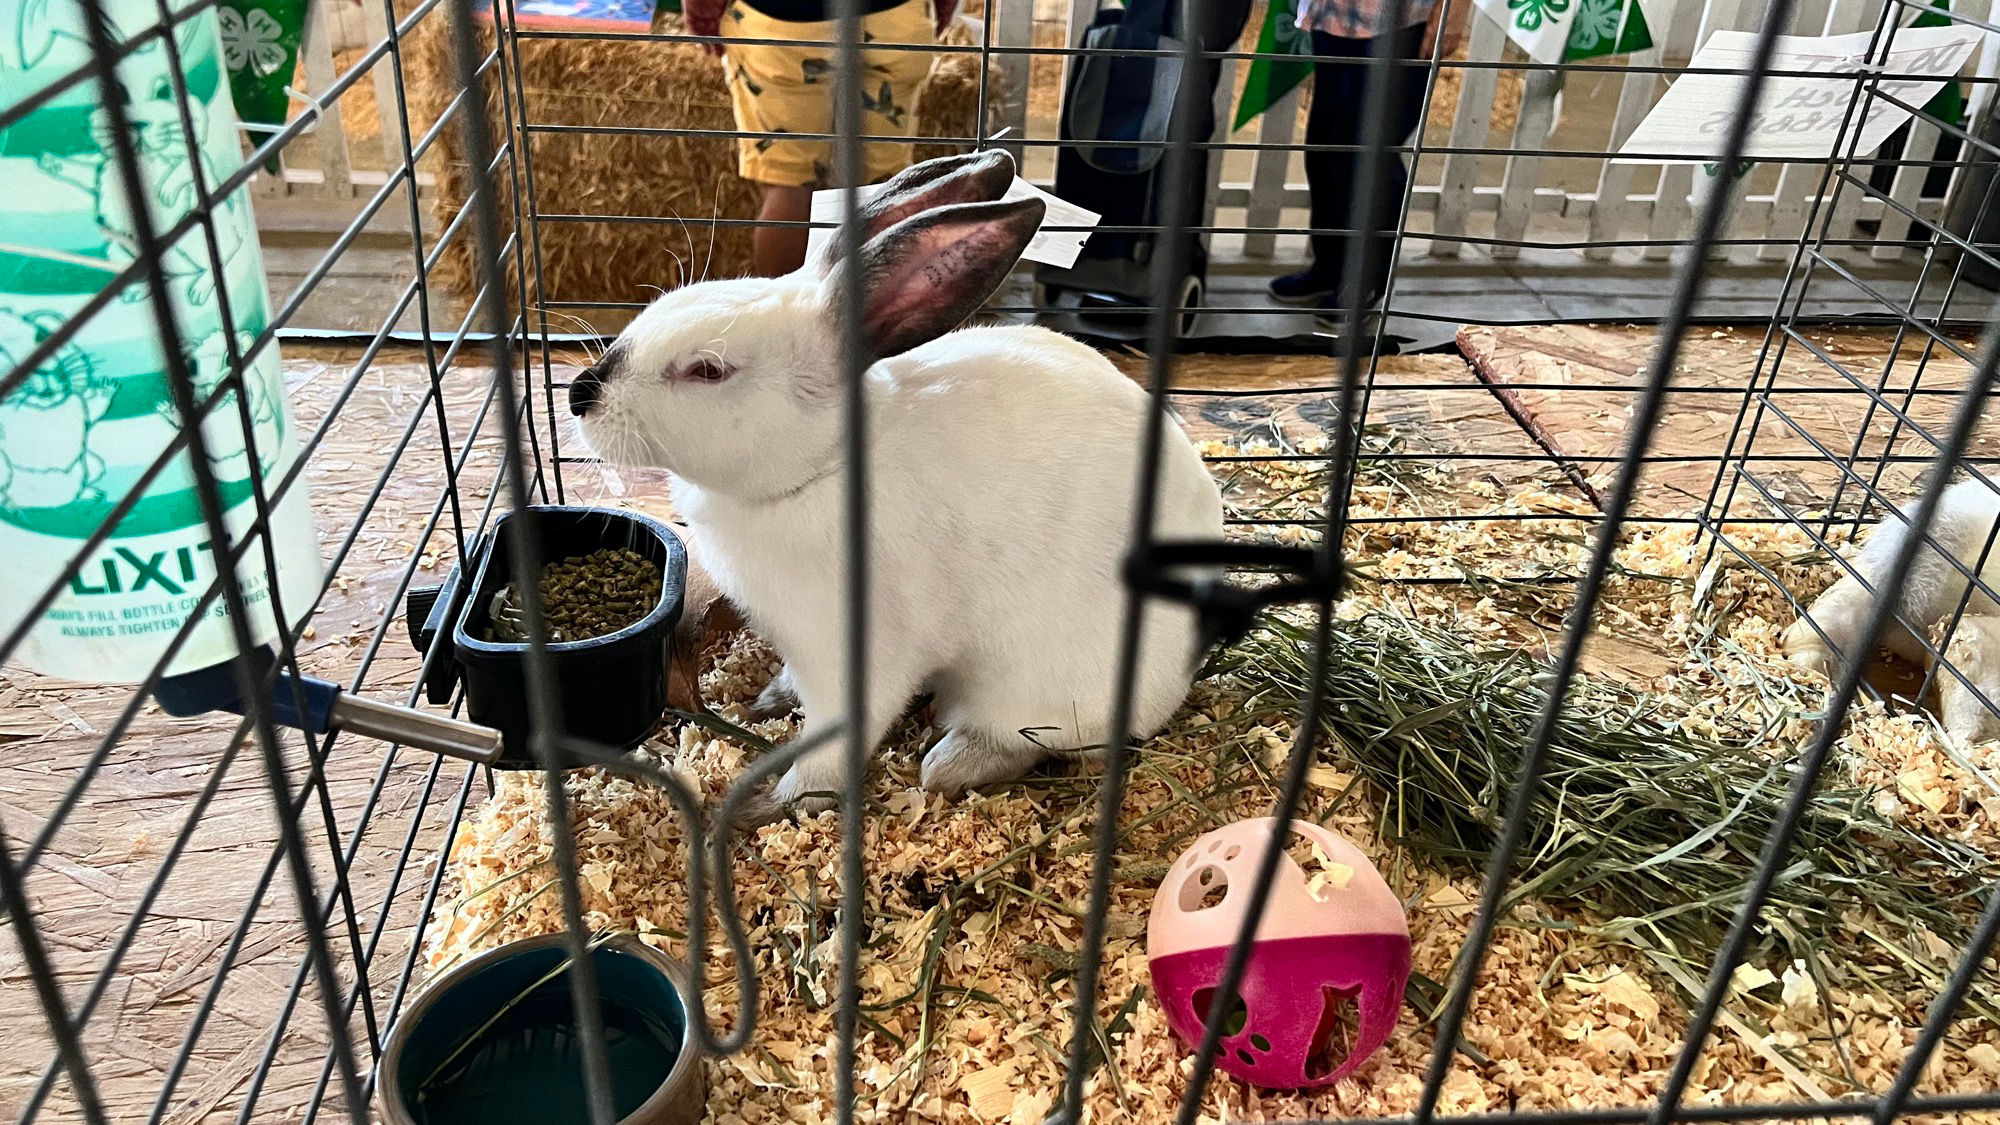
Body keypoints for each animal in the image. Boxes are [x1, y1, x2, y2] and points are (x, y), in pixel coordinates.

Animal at [564, 151, 1216, 812]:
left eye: (707, 371)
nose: (578, 395)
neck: (823, 468)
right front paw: (769, 701)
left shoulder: (854, 658)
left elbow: (835, 741)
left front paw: (776, 802)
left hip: (1036, 690)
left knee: (1024, 740)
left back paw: (947, 766)